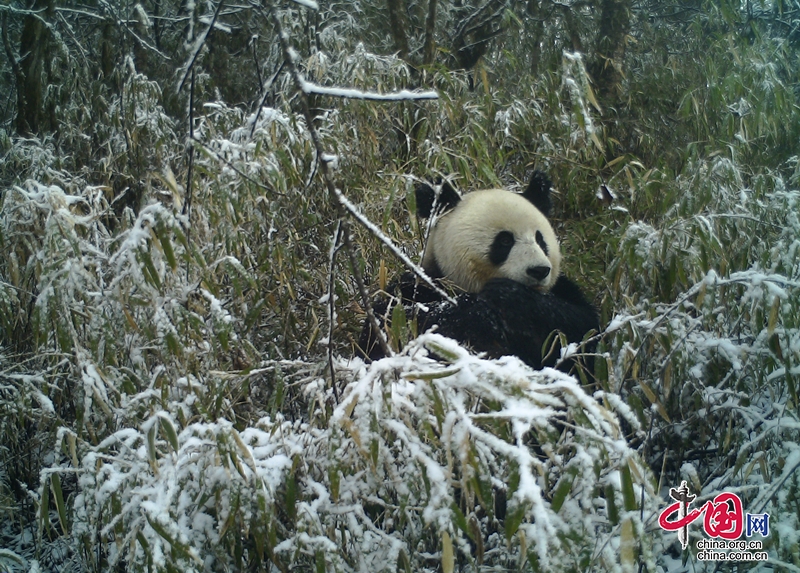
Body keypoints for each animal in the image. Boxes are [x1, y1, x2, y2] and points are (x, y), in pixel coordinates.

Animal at [360, 170, 596, 376]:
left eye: (540, 239)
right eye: (505, 241)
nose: (539, 270)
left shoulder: (563, 294)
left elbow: (580, 335)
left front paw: (510, 295)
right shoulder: (417, 289)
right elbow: (396, 326)